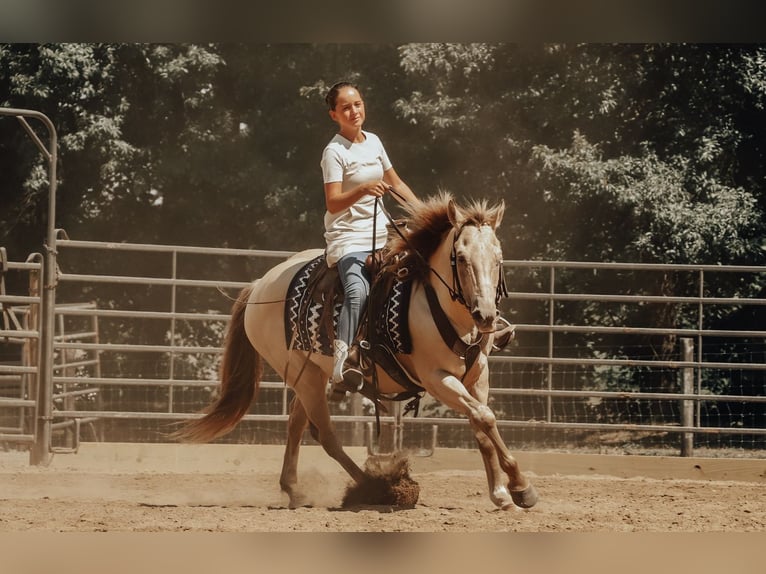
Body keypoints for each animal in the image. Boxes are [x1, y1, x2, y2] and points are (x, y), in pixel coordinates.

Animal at [173, 192, 538, 511]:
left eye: (498, 259)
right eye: (460, 258)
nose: (486, 315)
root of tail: (259, 286)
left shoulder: (478, 375)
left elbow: (482, 424)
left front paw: (503, 493)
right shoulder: (436, 378)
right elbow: (484, 417)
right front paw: (520, 487)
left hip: (310, 373)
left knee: (297, 424)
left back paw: (294, 489)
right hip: (303, 377)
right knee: (325, 434)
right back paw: (378, 489)